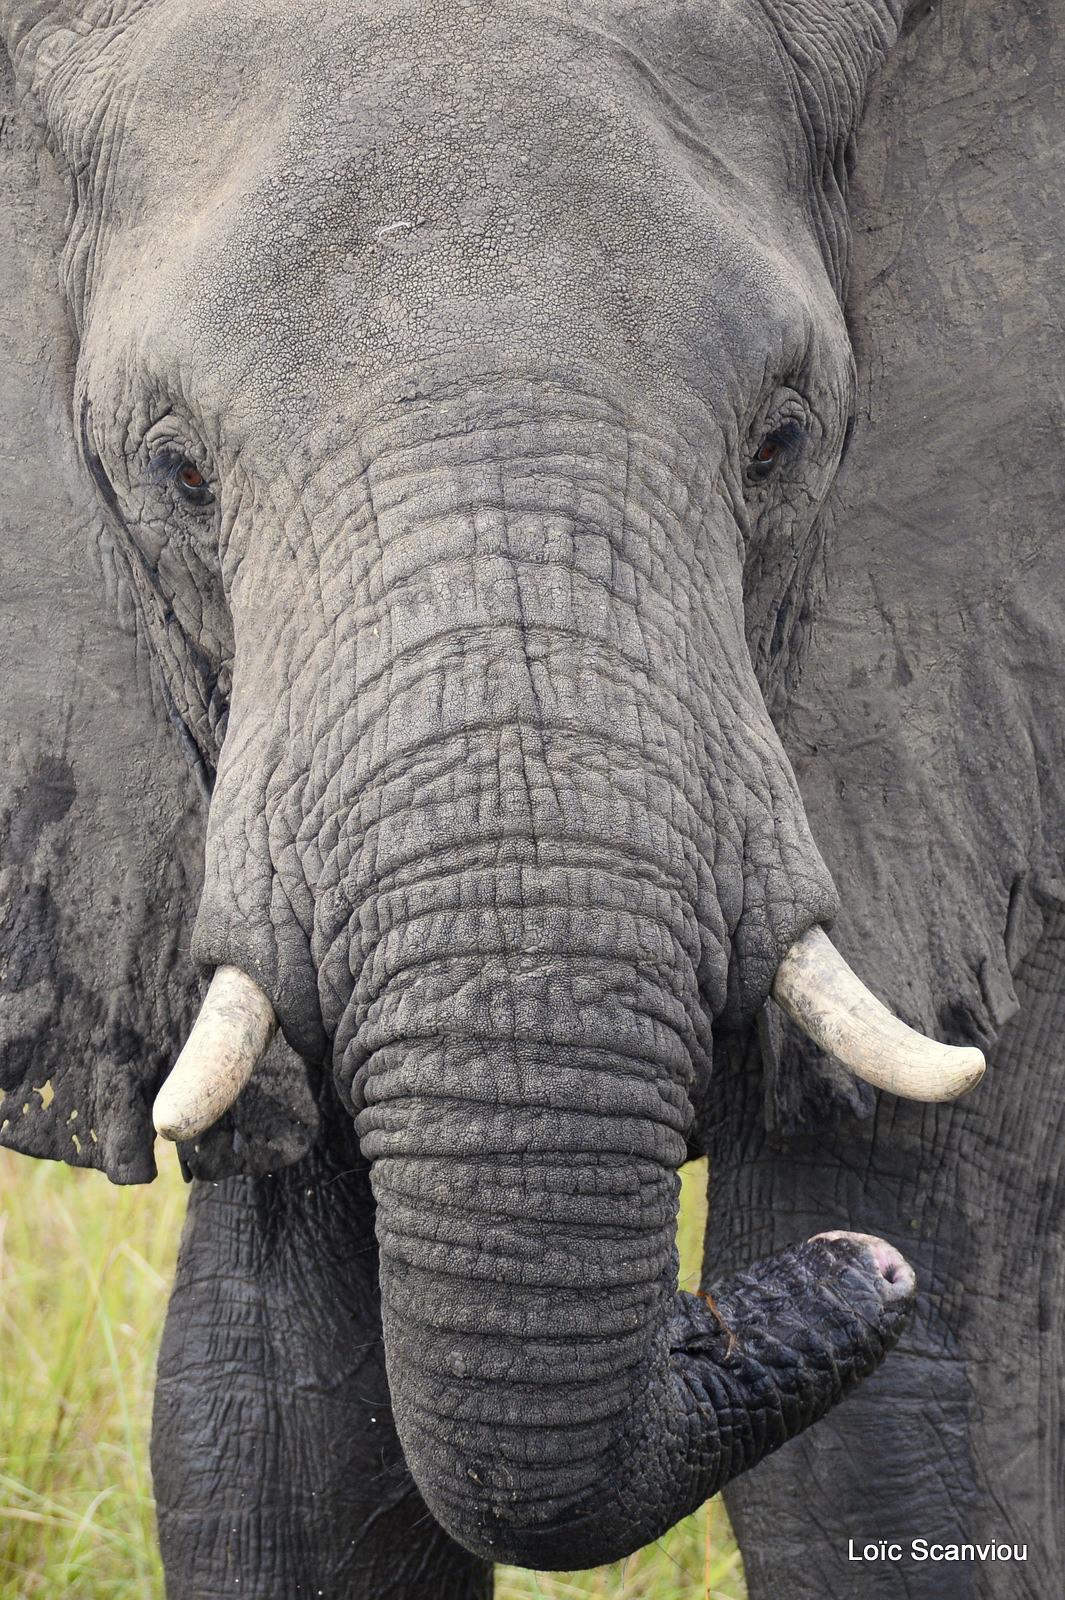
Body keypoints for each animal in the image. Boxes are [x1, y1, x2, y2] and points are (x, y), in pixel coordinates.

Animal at [0, 0, 1055, 1587]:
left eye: (782, 442)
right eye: (174, 471)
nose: (851, 1281)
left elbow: (903, 1453)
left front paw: (871, 1242)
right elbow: (276, 1438)